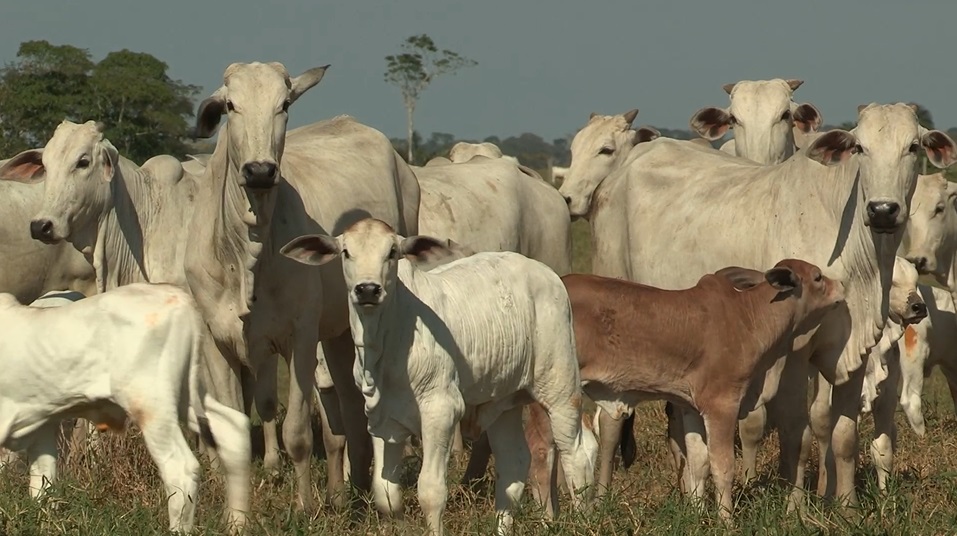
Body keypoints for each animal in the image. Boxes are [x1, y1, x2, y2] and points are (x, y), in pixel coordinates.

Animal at [0, 284, 250, 532]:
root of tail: (179, 298)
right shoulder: (41, 424)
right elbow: (43, 482)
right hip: (187, 395)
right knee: (232, 430)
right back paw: (236, 525)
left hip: (152, 402)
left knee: (180, 468)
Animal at [524, 258, 844, 520]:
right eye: (817, 277)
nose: (841, 285)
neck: (748, 318)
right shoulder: (722, 405)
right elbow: (723, 466)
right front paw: (726, 520)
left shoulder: (691, 407)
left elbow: (697, 463)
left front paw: (698, 512)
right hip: (551, 395)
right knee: (542, 455)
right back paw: (549, 519)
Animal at [556, 102, 956, 508]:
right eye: (860, 147)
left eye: (913, 147)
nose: (883, 210)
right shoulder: (794, 351)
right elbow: (797, 431)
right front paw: (795, 507)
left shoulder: (854, 347)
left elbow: (843, 435)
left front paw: (847, 507)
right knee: (611, 421)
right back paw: (601, 498)